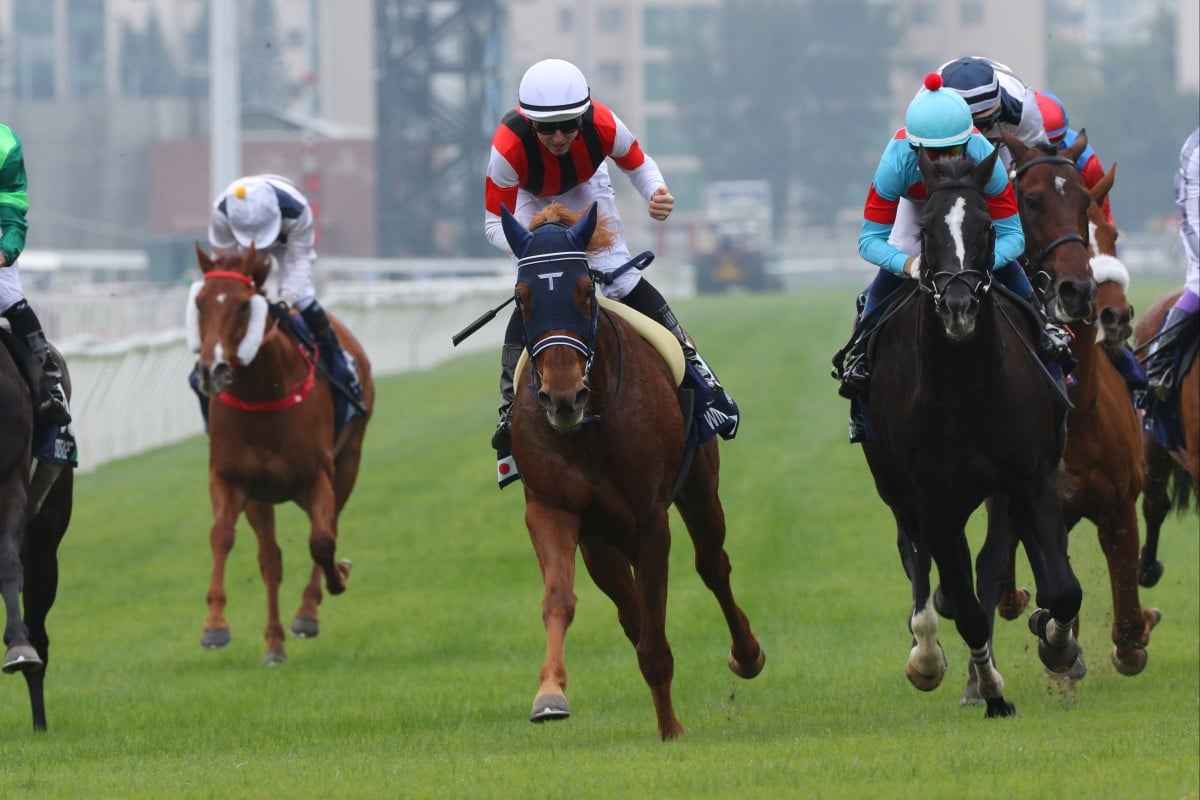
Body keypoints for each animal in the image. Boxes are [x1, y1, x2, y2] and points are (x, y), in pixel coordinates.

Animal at [189, 242, 374, 662]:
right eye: (200, 303)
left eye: (244, 306)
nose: (211, 369)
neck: (264, 390)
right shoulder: (232, 478)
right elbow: (222, 535)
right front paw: (214, 625)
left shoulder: (317, 477)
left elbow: (322, 540)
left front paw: (330, 586)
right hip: (262, 496)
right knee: (270, 560)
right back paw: (274, 643)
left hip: (349, 460)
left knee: (330, 526)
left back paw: (310, 608)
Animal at [501, 203, 763, 743]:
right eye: (522, 296)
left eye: (584, 290)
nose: (563, 396)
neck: (590, 428)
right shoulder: (557, 511)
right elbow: (562, 599)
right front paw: (549, 693)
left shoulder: (650, 519)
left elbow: (657, 624)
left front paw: (670, 729)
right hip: (602, 538)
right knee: (629, 610)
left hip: (699, 487)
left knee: (713, 564)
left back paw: (747, 654)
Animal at [864, 149, 1080, 719]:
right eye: (925, 233)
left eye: (986, 227)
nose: (958, 305)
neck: (965, 388)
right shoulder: (933, 499)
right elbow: (965, 607)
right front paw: (990, 688)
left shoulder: (1029, 478)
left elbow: (1061, 588)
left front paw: (1056, 640)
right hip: (898, 490)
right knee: (916, 555)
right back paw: (926, 651)